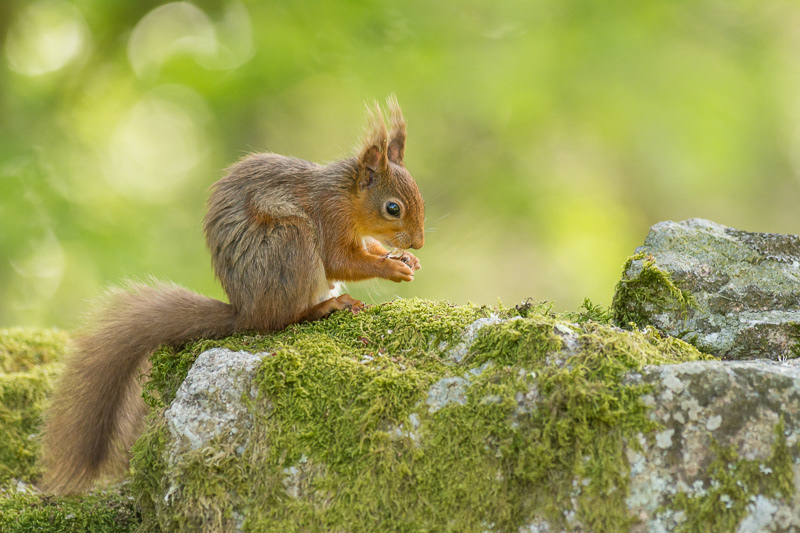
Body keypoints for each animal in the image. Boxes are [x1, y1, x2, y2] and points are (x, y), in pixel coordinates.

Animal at [41, 97, 425, 495]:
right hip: (291, 243)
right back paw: (327, 306)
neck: (346, 195)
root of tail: (245, 312)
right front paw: (392, 268)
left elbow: (368, 249)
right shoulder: (329, 216)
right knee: (282, 319)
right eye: (392, 208)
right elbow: (339, 261)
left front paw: (402, 258)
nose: (418, 242)